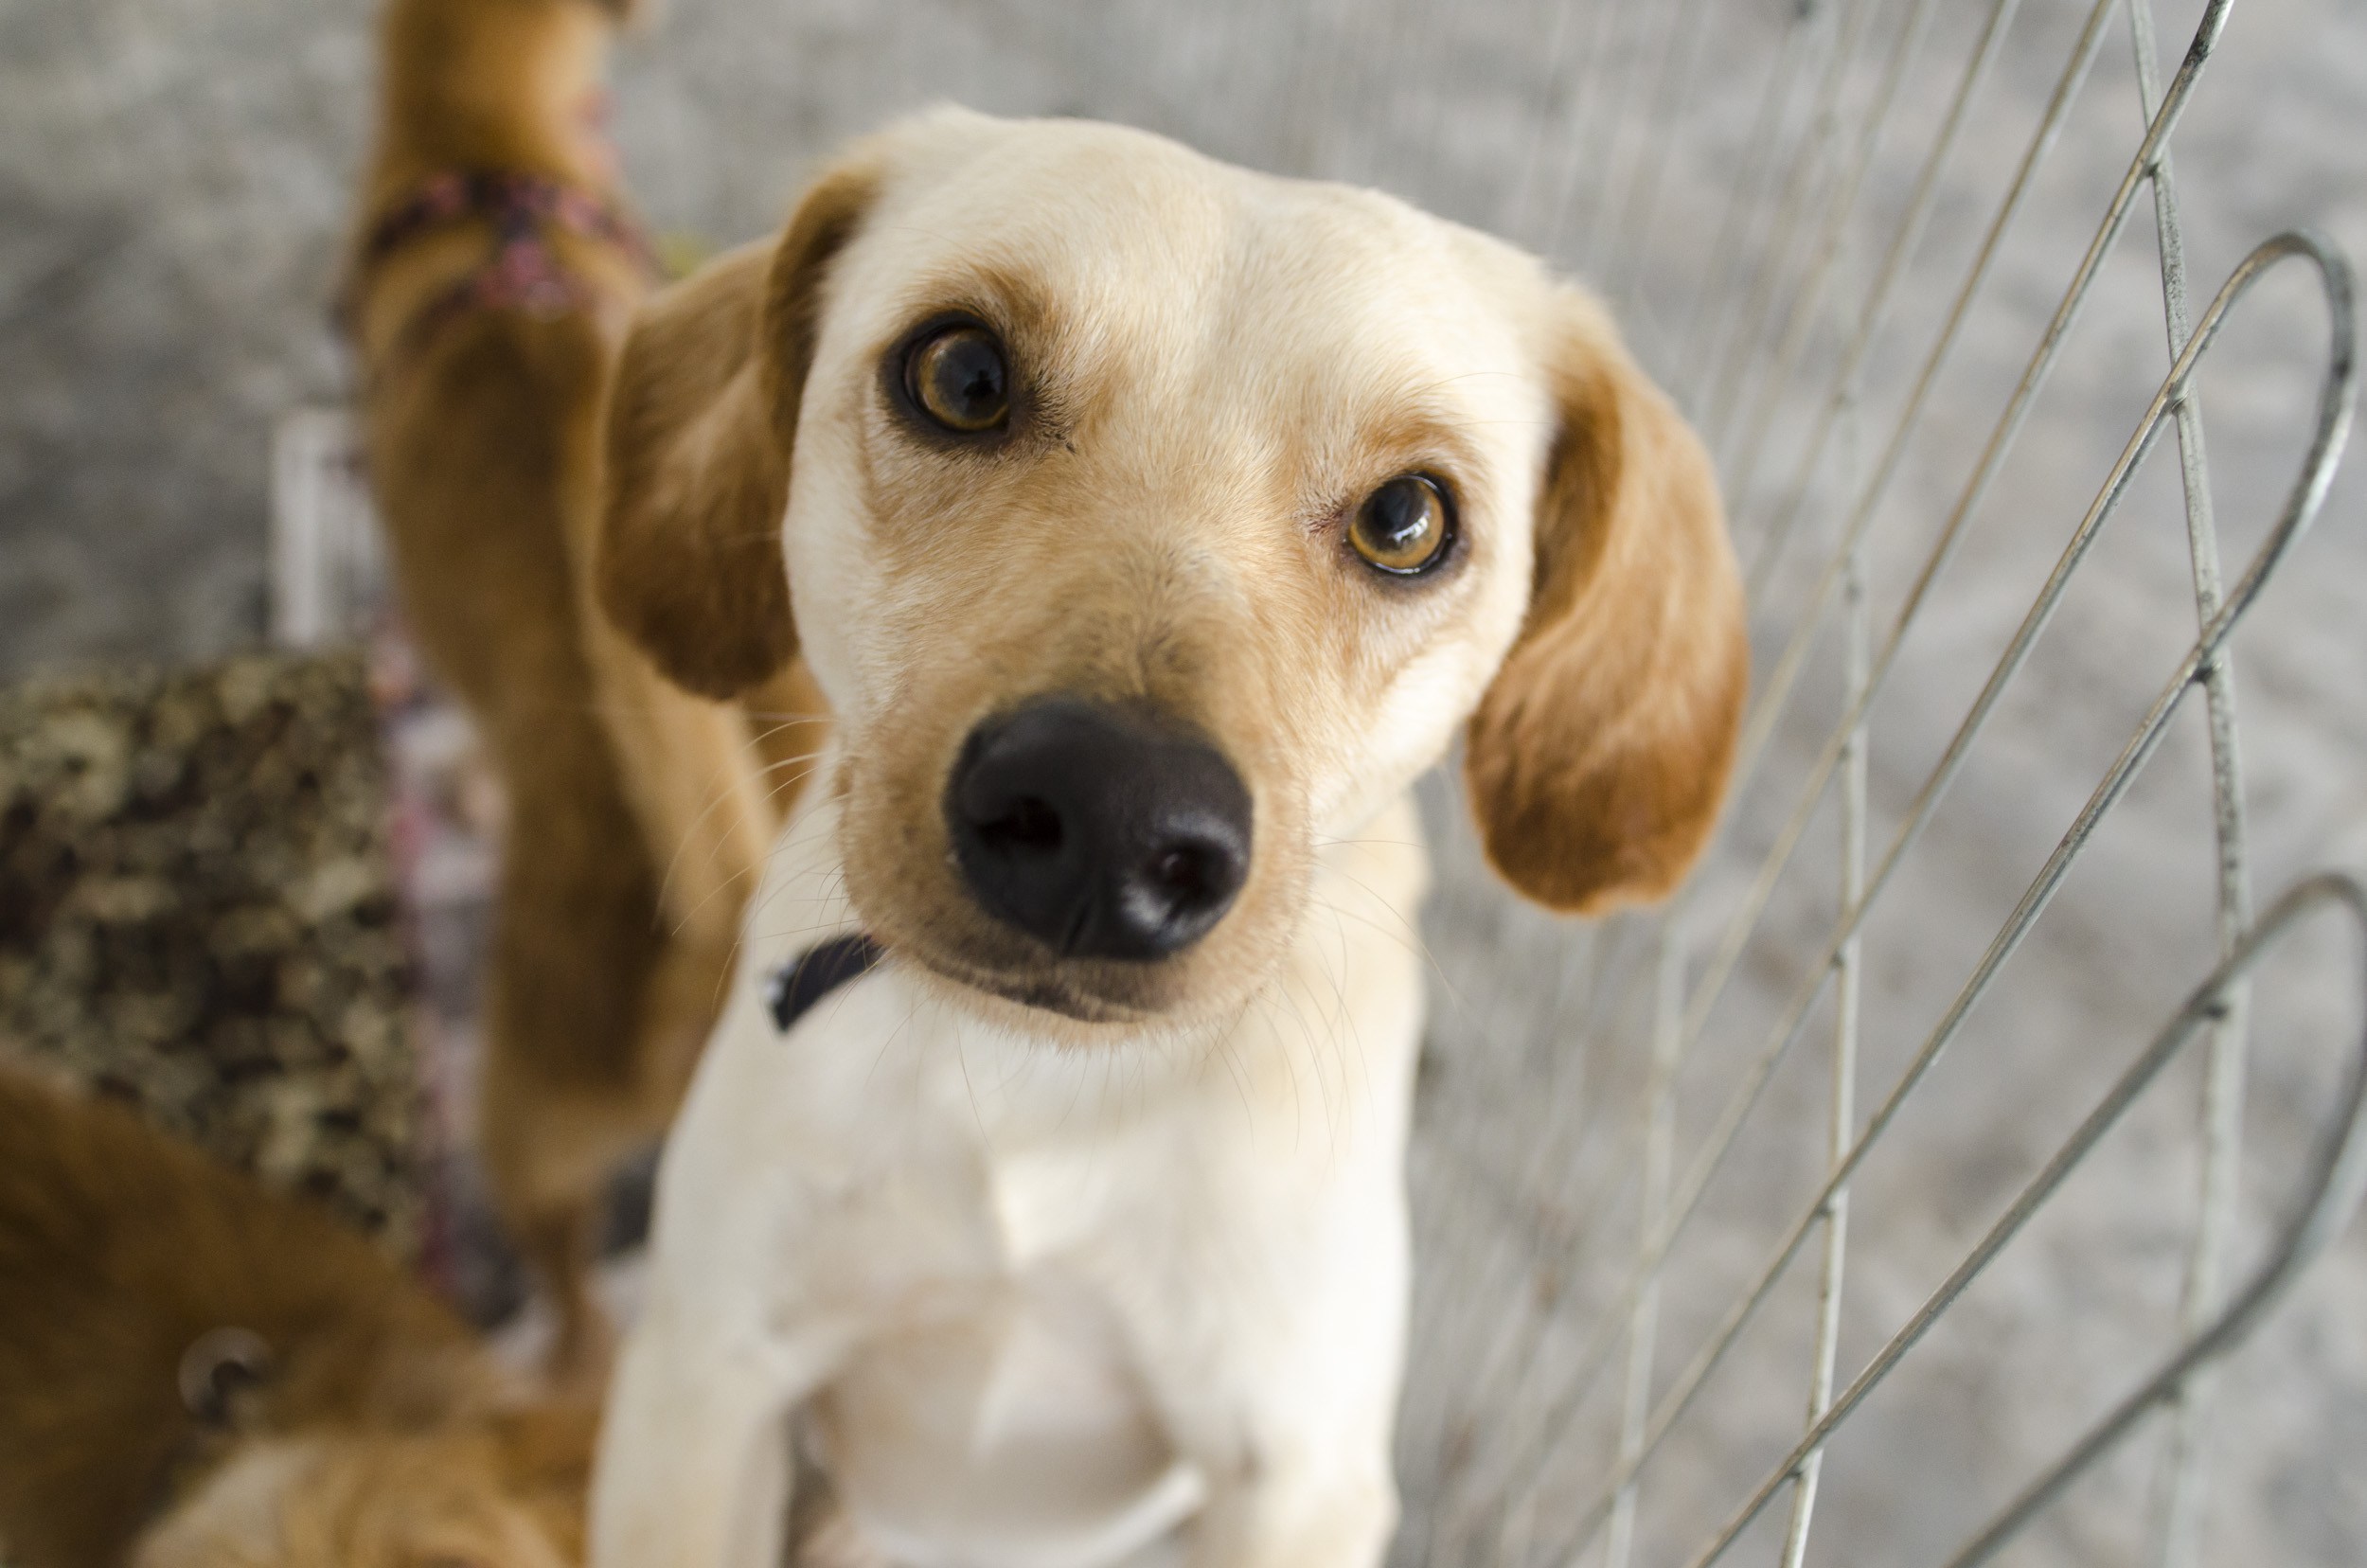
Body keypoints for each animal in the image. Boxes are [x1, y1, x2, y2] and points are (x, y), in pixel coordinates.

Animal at [587, 110, 1742, 1568]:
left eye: (1408, 519)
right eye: (962, 375)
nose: (1108, 825)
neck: (1034, 1083)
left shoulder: (1297, 1480)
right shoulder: (708, 1380)